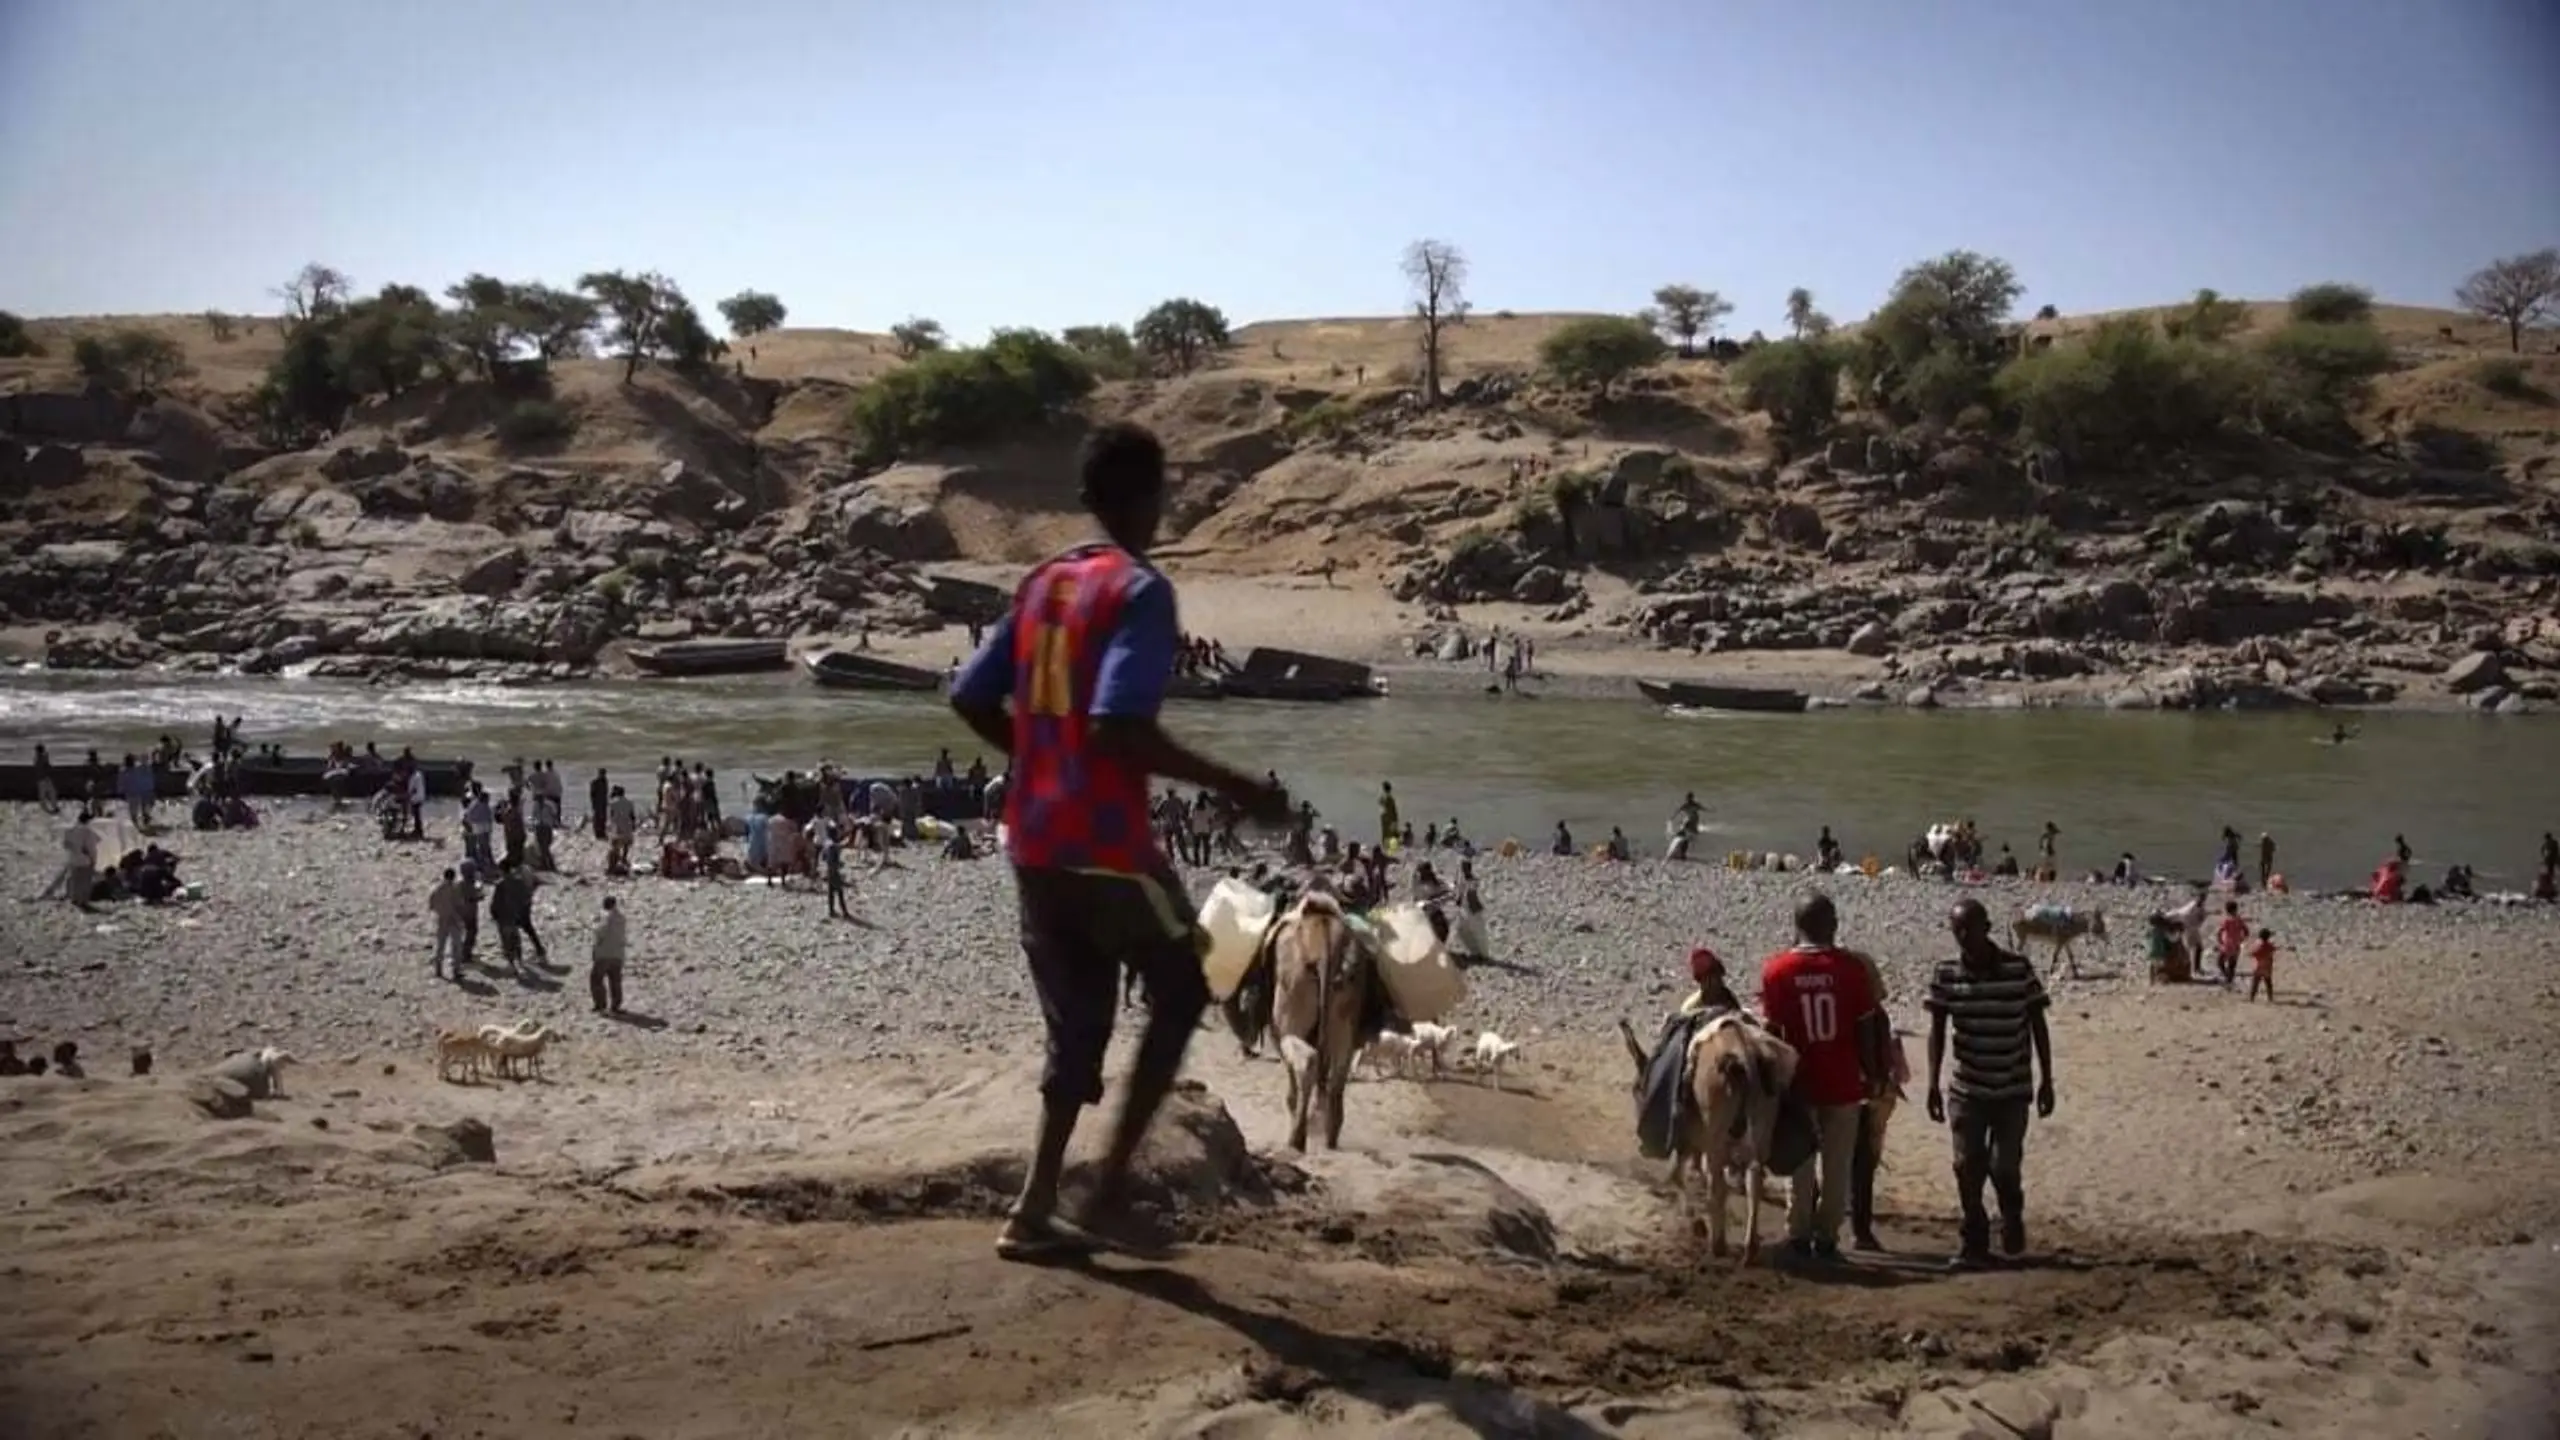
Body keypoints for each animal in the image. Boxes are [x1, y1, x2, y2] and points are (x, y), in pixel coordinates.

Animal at [1264, 891, 1372, 1147]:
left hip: (1291, 996)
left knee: (1307, 1061)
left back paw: (1297, 1136)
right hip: (1346, 999)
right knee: (1340, 1067)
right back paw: (1330, 1133)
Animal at [1617, 1009, 1802, 1255]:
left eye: (1636, 1090)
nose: (1643, 1147)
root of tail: (1742, 1056)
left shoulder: (1688, 1137)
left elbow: (1676, 1175)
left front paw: (1696, 1223)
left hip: (1716, 1140)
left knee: (1718, 1185)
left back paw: (1718, 1244)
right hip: (1759, 1134)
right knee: (1754, 1181)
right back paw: (1750, 1247)